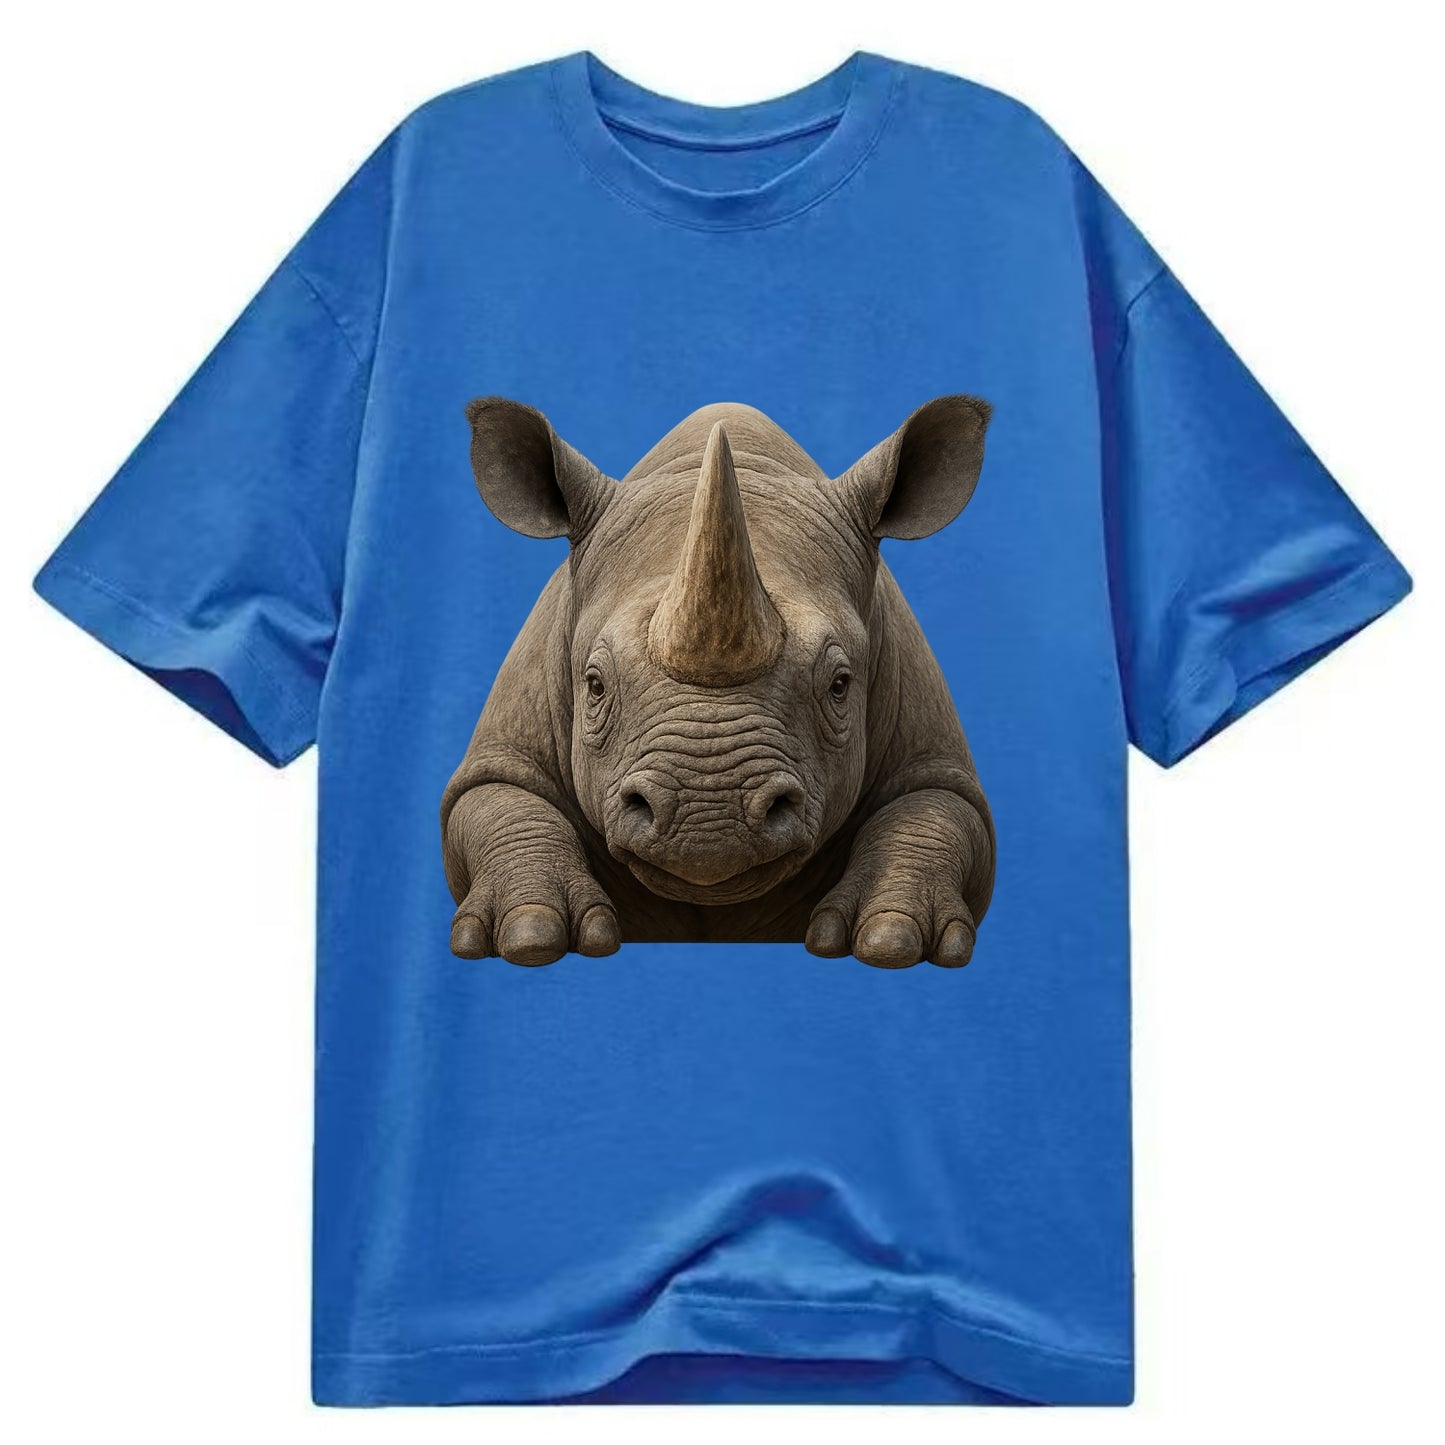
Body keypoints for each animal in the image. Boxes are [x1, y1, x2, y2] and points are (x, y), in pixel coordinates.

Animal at [440, 395, 996, 970]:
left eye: (840, 685)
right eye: (594, 685)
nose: (709, 821)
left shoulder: (930, 749)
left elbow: (935, 809)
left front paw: (891, 939)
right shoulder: (506, 747)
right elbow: (498, 799)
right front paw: (530, 935)